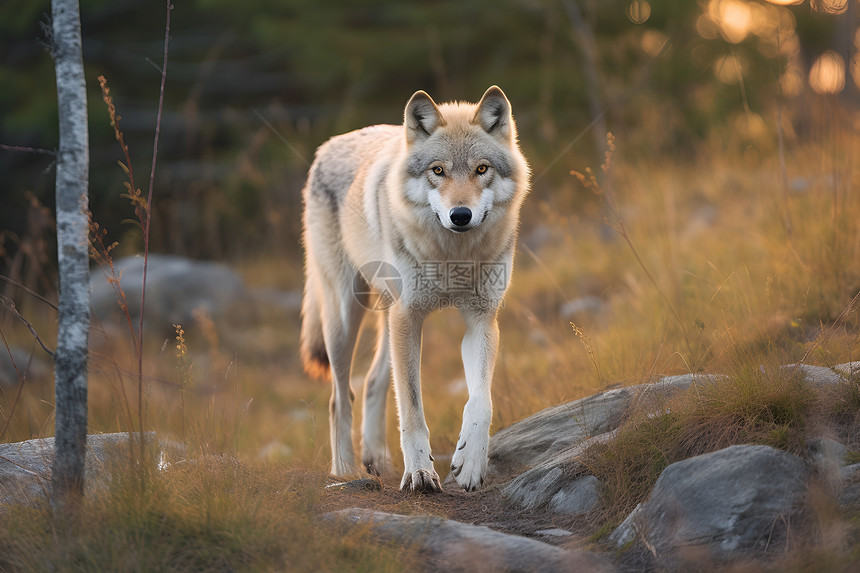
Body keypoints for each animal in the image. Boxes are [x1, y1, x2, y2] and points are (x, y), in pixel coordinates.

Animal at [300, 85, 532, 492]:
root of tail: (326, 147)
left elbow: (481, 401)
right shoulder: (409, 317)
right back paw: (344, 471)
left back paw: (377, 460)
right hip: (347, 317)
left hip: (388, 318)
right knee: (339, 396)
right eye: (437, 170)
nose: (460, 215)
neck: (452, 259)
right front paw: (420, 474)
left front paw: (470, 464)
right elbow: (411, 408)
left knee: (373, 381)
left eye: (481, 169)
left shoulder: (481, 321)